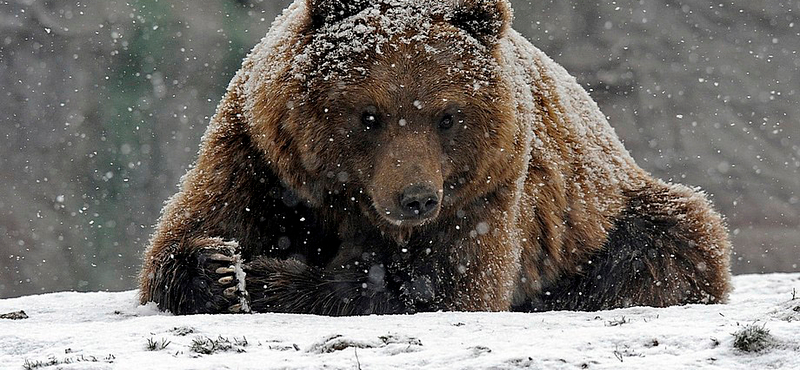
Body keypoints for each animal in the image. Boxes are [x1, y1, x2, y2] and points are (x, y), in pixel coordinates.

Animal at [139, 0, 732, 316]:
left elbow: (444, 285)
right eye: (370, 115)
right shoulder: (260, 155)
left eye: (448, 116)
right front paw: (221, 269)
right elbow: (191, 231)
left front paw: (268, 280)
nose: (416, 198)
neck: (350, 202)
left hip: (604, 215)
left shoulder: (489, 189)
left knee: (672, 238)